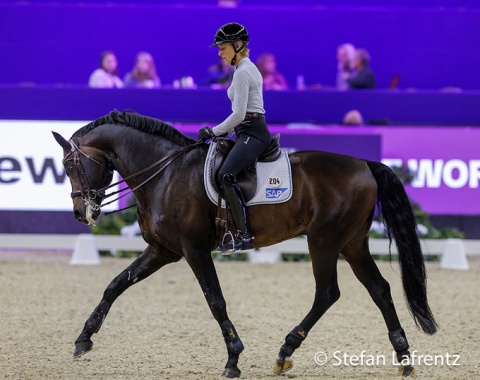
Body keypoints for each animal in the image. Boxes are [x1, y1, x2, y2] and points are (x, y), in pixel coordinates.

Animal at [51, 109, 436, 378]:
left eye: (70, 165)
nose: (80, 213)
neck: (165, 174)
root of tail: (365, 165)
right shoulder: (164, 250)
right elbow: (116, 284)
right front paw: (83, 339)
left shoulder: (193, 250)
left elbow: (215, 301)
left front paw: (233, 358)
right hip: (351, 242)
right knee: (379, 289)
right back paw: (404, 357)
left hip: (324, 240)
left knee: (328, 293)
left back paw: (285, 352)